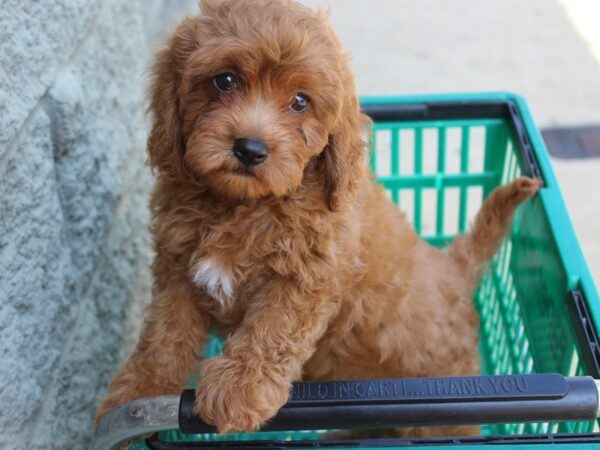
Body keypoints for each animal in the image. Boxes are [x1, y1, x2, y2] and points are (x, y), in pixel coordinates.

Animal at [97, 0, 540, 436]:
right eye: (224, 81)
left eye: (300, 101)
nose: (250, 149)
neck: (243, 204)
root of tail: (455, 269)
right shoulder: (179, 268)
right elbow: (165, 333)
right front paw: (137, 393)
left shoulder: (309, 275)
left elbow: (273, 326)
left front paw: (239, 386)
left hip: (441, 411)